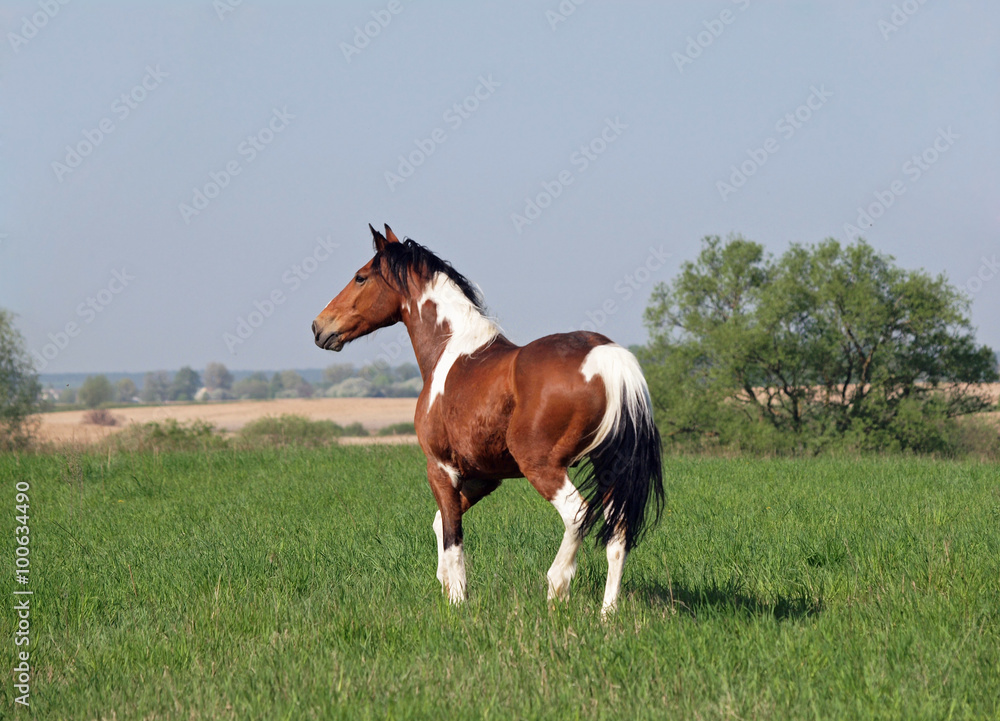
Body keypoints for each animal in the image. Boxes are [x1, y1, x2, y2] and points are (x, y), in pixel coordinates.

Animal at [312, 224, 663, 616]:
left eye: (360, 277)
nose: (319, 327)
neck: (451, 349)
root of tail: (605, 355)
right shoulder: (483, 476)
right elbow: (441, 524)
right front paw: (446, 585)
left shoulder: (441, 468)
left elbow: (453, 538)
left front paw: (456, 601)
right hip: (609, 468)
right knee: (618, 535)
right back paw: (607, 614)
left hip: (543, 468)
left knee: (577, 516)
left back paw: (556, 587)